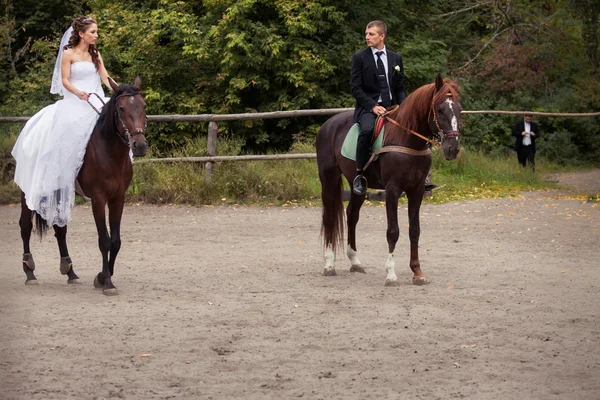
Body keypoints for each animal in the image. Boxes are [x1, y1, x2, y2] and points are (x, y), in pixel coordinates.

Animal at [21, 76, 149, 296]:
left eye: (143, 106)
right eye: (121, 108)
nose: (139, 145)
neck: (109, 152)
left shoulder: (118, 198)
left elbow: (116, 241)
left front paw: (102, 277)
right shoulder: (98, 199)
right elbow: (104, 240)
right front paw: (107, 282)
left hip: (60, 192)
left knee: (60, 229)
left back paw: (70, 272)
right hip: (27, 191)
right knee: (25, 226)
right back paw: (30, 273)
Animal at [316, 75, 462, 286]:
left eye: (459, 109)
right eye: (440, 109)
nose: (453, 148)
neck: (407, 138)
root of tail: (328, 124)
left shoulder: (417, 190)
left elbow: (414, 230)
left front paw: (417, 272)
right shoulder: (393, 190)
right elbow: (393, 231)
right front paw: (391, 274)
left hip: (357, 185)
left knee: (352, 215)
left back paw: (355, 262)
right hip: (329, 178)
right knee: (328, 217)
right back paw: (329, 265)